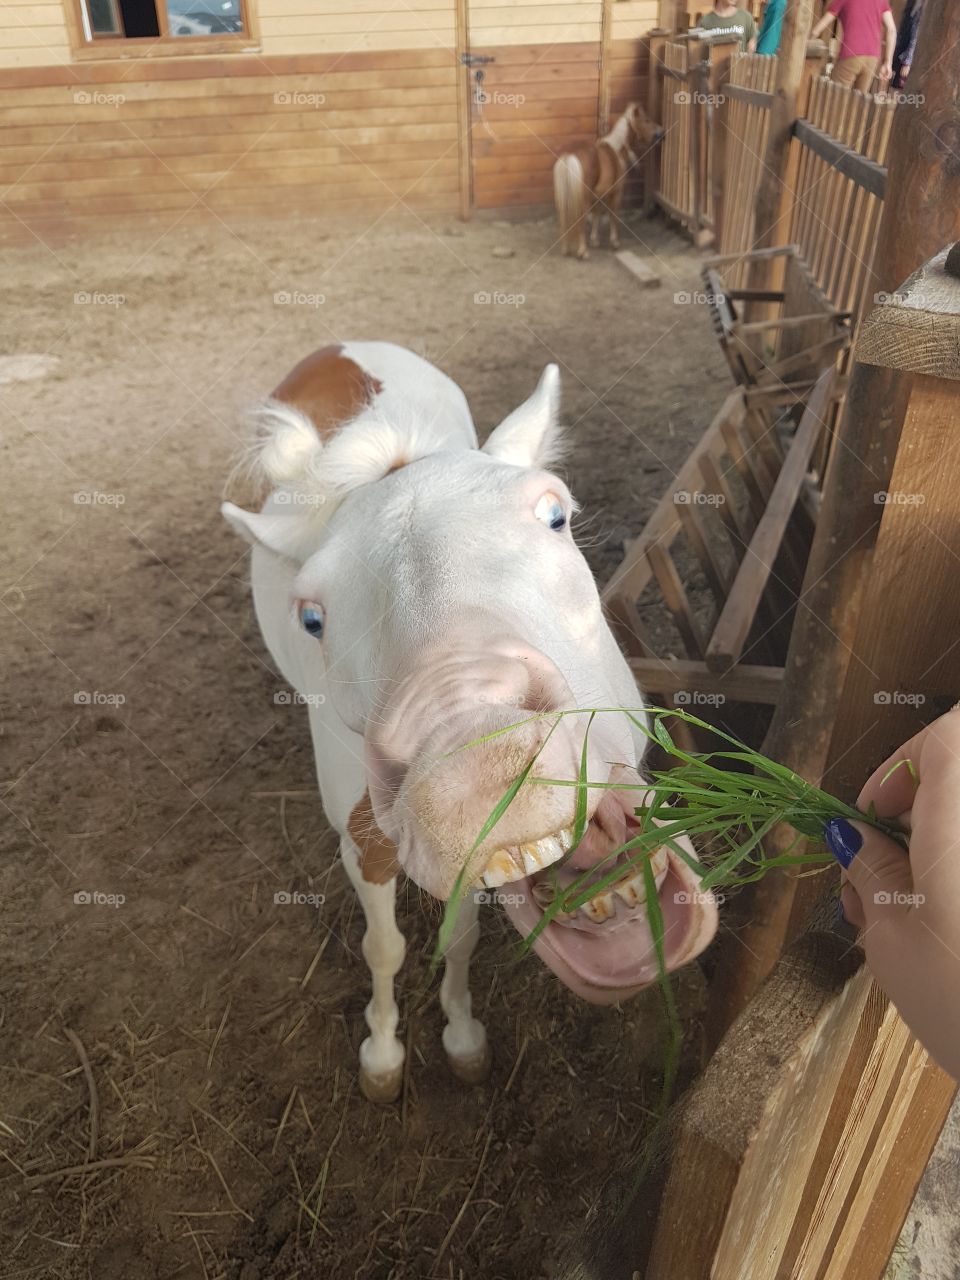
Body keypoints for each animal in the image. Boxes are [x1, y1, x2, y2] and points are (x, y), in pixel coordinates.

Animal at [222, 342, 717, 1102]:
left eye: (556, 515)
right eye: (312, 618)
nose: (478, 758)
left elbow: (458, 937)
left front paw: (460, 1036)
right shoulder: (362, 842)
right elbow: (385, 947)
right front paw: (384, 1054)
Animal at [553, 102, 665, 259]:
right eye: (647, 120)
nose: (661, 133)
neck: (616, 149)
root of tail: (570, 155)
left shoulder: (597, 196)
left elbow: (596, 215)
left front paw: (594, 240)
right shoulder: (616, 193)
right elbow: (613, 215)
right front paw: (614, 242)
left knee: (564, 219)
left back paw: (566, 249)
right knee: (580, 220)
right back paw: (583, 252)